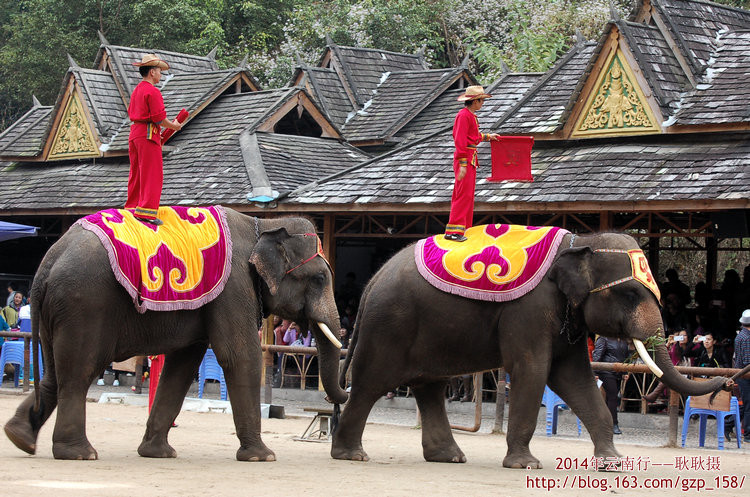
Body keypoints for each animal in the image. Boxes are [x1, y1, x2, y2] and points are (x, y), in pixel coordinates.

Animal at [2, 211, 350, 460]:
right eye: (319, 279)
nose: (338, 400)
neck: (263, 223)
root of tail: (47, 261)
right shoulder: (234, 287)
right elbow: (239, 356)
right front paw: (262, 457)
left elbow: (183, 363)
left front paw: (158, 454)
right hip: (84, 303)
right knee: (79, 371)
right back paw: (79, 453)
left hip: (58, 311)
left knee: (55, 373)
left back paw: (20, 438)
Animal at [332, 231, 732, 466]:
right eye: (631, 293)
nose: (728, 383)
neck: (580, 243)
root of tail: (371, 283)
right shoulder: (529, 309)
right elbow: (533, 370)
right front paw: (527, 465)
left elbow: (574, 377)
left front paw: (613, 462)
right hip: (389, 324)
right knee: (371, 384)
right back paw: (351, 455)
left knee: (429, 386)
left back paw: (450, 457)